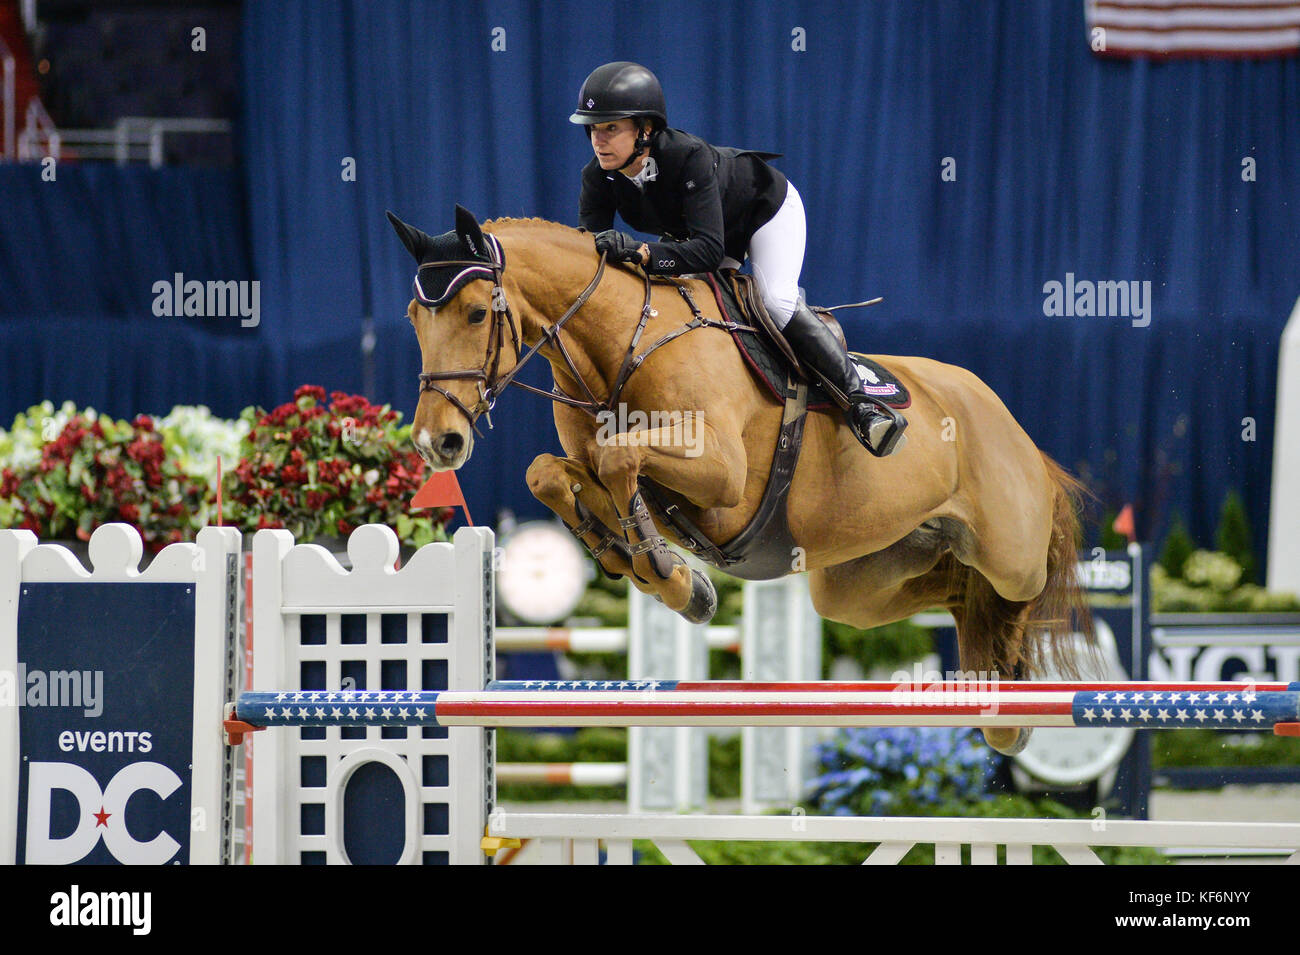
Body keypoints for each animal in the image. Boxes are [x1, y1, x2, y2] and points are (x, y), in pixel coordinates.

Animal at [387, 207, 1097, 753]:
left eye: (476, 314)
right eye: (414, 319)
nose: (436, 442)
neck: (623, 343)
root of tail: (1013, 428)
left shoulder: (722, 478)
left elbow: (619, 460)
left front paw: (668, 574)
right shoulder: (609, 467)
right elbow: (554, 475)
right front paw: (643, 563)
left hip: (1008, 551)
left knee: (1017, 589)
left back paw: (1011, 689)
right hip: (859, 585)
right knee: (955, 588)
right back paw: (991, 681)